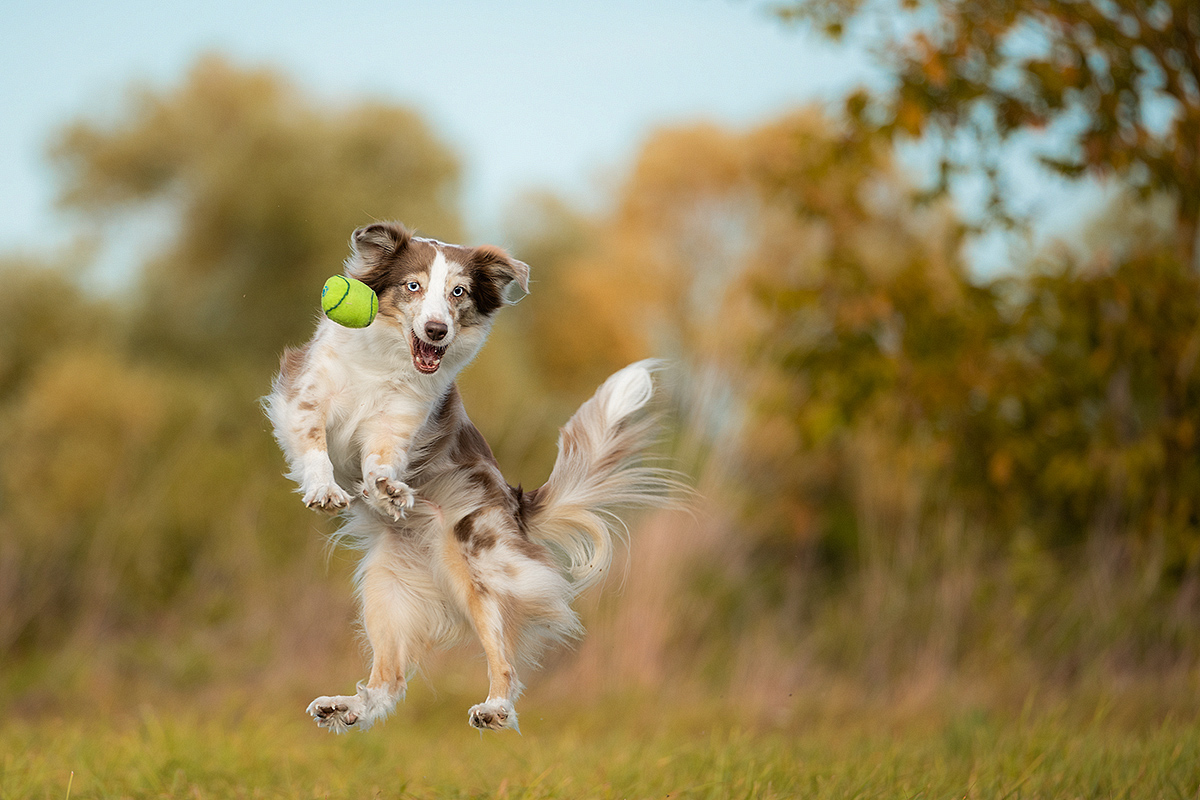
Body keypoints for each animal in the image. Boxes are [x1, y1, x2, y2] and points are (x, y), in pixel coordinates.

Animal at [264, 221, 672, 734]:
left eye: (458, 292)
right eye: (412, 286)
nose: (437, 330)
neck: (387, 362)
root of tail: (518, 506)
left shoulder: (397, 423)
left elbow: (381, 459)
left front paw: (386, 489)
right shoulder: (305, 395)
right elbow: (315, 443)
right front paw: (325, 488)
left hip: (482, 571)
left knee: (502, 661)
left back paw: (494, 708)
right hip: (385, 591)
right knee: (389, 680)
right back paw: (345, 707)